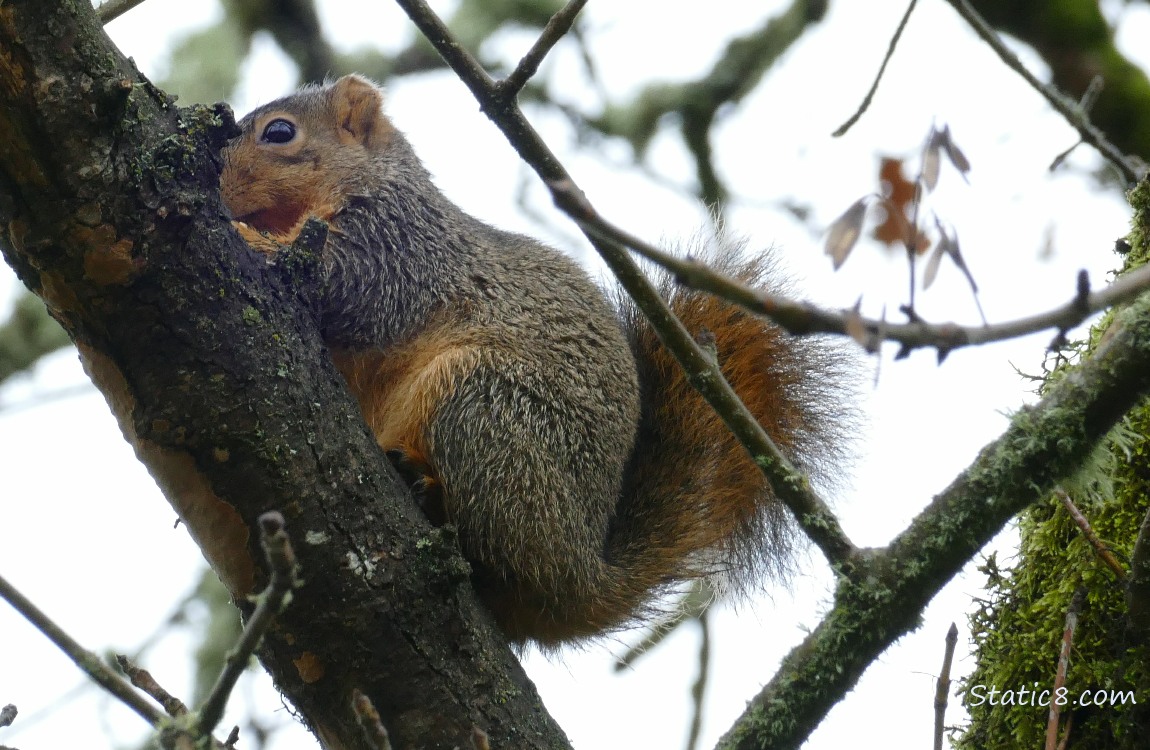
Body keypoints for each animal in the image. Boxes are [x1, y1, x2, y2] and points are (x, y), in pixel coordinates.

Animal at [217, 75, 855, 648]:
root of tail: (580, 575)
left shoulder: (398, 248)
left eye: (279, 132)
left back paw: (428, 490)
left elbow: (340, 288)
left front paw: (244, 236)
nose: (218, 185)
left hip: (484, 408)